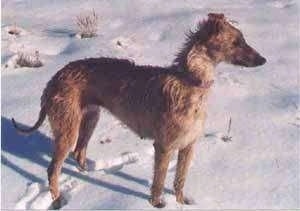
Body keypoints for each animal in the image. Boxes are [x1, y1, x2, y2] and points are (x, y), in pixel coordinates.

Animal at [11, 13, 266, 208]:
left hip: (90, 119)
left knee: (79, 153)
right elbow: (159, 181)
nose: (264, 60)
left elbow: (180, 180)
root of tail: (55, 78)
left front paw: (181, 202)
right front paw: (157, 204)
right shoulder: (163, 146)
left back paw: (89, 176)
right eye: (236, 41)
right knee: (53, 169)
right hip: (68, 129)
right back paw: (57, 199)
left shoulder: (188, 145)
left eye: (242, 39)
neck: (190, 80)